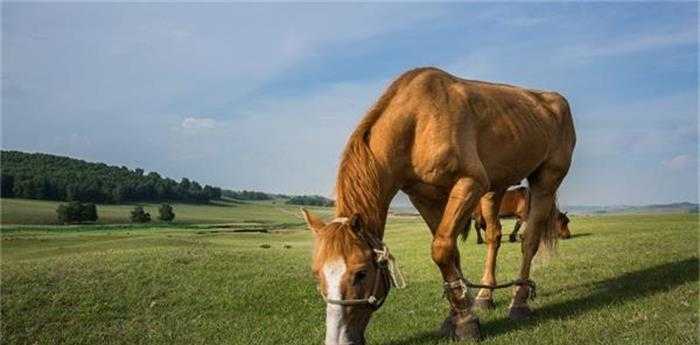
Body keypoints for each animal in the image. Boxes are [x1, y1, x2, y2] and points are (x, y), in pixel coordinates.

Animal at [300, 66, 576, 342]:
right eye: (316, 273)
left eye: (361, 273)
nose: (338, 340)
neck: (418, 122)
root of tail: (555, 101)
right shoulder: (424, 197)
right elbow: (450, 253)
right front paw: (457, 313)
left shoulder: (470, 184)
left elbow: (441, 249)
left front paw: (465, 322)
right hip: (494, 189)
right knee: (494, 236)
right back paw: (485, 296)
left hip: (545, 181)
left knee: (529, 240)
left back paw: (519, 302)